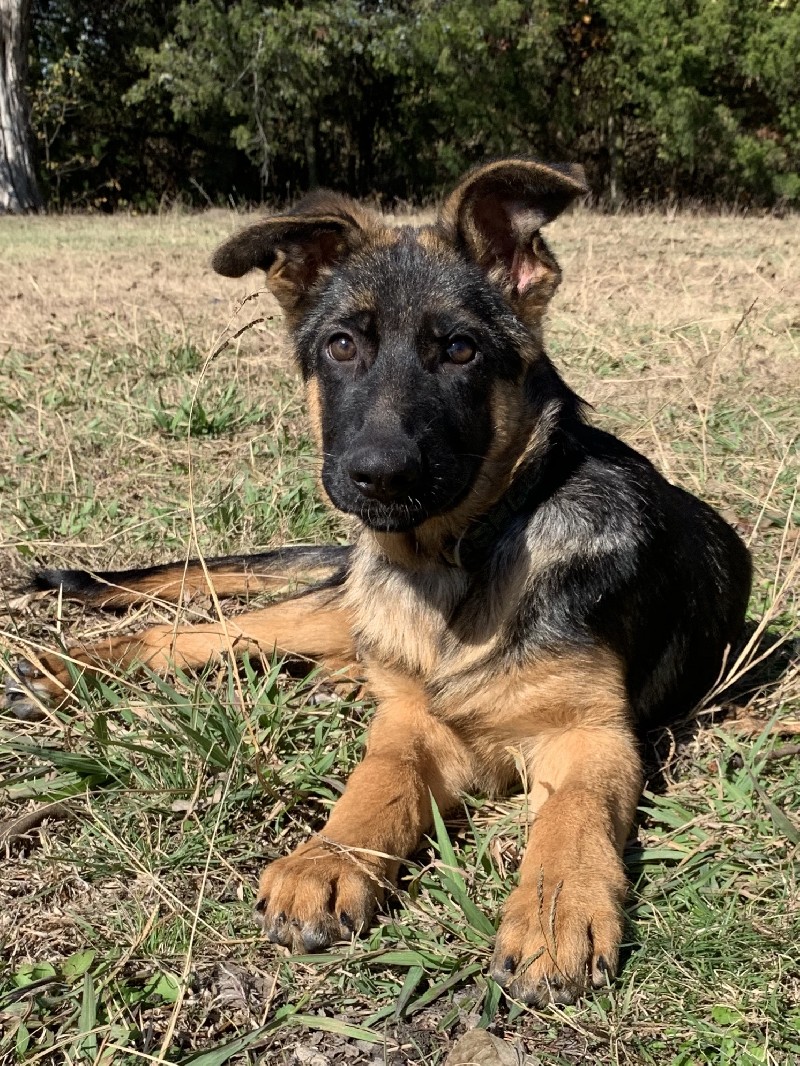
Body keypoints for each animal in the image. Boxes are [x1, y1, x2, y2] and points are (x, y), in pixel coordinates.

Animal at [6, 159, 750, 1006]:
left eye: (460, 350)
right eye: (341, 346)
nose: (378, 476)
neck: (457, 563)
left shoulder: (594, 737)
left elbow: (575, 816)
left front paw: (557, 909)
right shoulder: (411, 723)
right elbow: (378, 780)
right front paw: (330, 857)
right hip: (326, 608)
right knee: (197, 631)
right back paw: (60, 669)